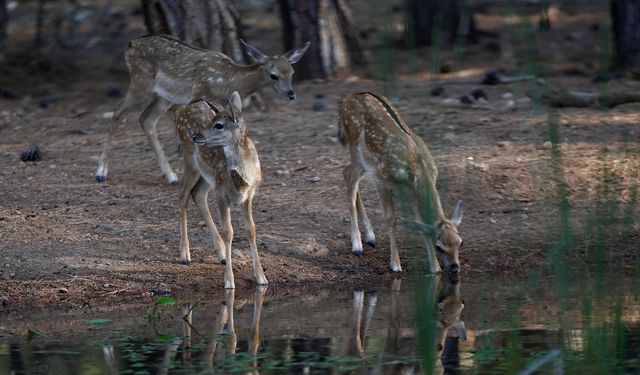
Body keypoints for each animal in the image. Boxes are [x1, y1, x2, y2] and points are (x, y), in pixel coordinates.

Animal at [95, 33, 312, 185]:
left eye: (292, 72)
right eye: (274, 75)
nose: (291, 94)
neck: (228, 80)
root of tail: (130, 45)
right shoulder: (196, 92)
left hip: (163, 95)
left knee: (146, 119)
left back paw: (171, 176)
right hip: (141, 81)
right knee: (118, 111)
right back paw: (101, 173)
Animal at [174, 92, 266, 290]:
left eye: (219, 125)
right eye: (213, 121)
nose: (197, 136)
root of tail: (183, 107)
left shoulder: (249, 195)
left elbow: (251, 228)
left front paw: (261, 277)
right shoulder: (222, 194)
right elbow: (228, 231)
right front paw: (229, 282)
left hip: (207, 176)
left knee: (197, 194)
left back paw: (222, 254)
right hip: (190, 160)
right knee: (182, 196)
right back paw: (185, 254)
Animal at [338, 91, 462, 274]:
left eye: (460, 242)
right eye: (439, 246)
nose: (454, 268)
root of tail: (345, 99)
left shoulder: (410, 193)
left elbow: (421, 223)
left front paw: (435, 268)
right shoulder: (382, 180)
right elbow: (391, 219)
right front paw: (395, 265)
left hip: (367, 161)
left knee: (350, 176)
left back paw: (370, 237)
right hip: (355, 145)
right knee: (349, 176)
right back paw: (357, 246)